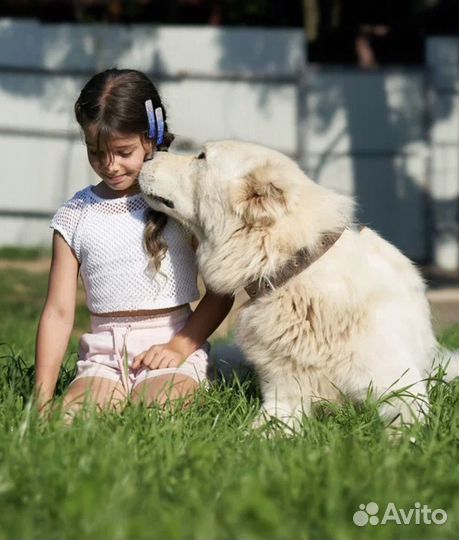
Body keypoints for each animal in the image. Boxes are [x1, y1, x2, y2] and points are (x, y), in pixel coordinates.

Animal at [141, 141, 459, 428]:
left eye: (202, 156)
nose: (148, 154)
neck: (293, 270)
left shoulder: (401, 390)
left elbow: (403, 429)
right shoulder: (283, 398)